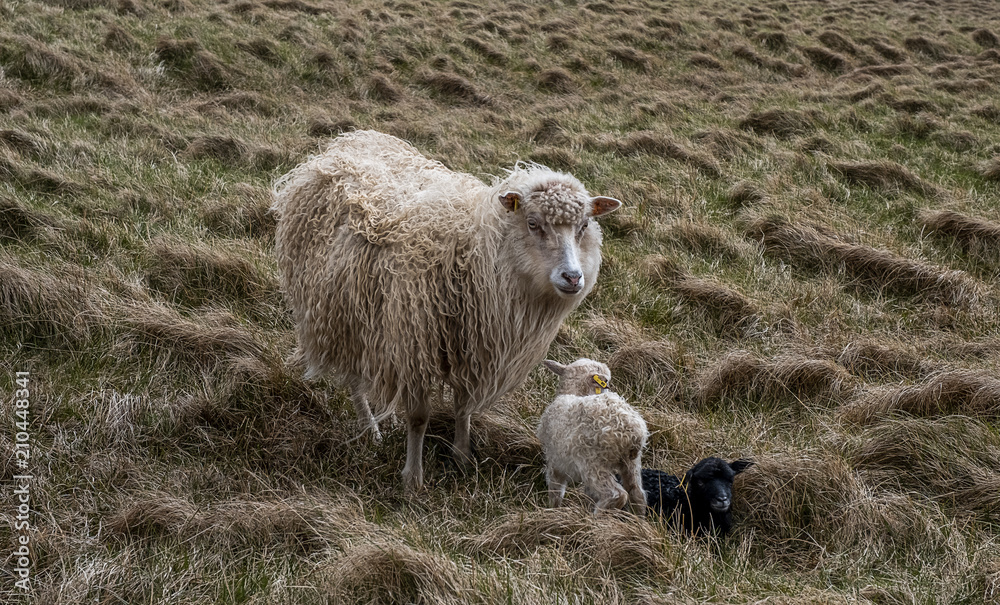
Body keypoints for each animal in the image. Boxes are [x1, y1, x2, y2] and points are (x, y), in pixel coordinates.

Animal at [271, 130, 621, 491]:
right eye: (533, 223)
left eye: (584, 226)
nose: (572, 277)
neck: (474, 253)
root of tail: (347, 140)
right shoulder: (415, 344)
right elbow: (419, 417)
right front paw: (413, 478)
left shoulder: (474, 349)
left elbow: (463, 407)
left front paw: (462, 457)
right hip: (338, 313)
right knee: (356, 379)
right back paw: (371, 429)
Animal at [537, 358, 648, 514]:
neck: (575, 392)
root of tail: (632, 431)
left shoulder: (555, 460)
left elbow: (556, 489)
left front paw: (552, 509)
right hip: (631, 463)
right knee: (637, 494)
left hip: (593, 462)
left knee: (617, 494)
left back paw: (596, 516)